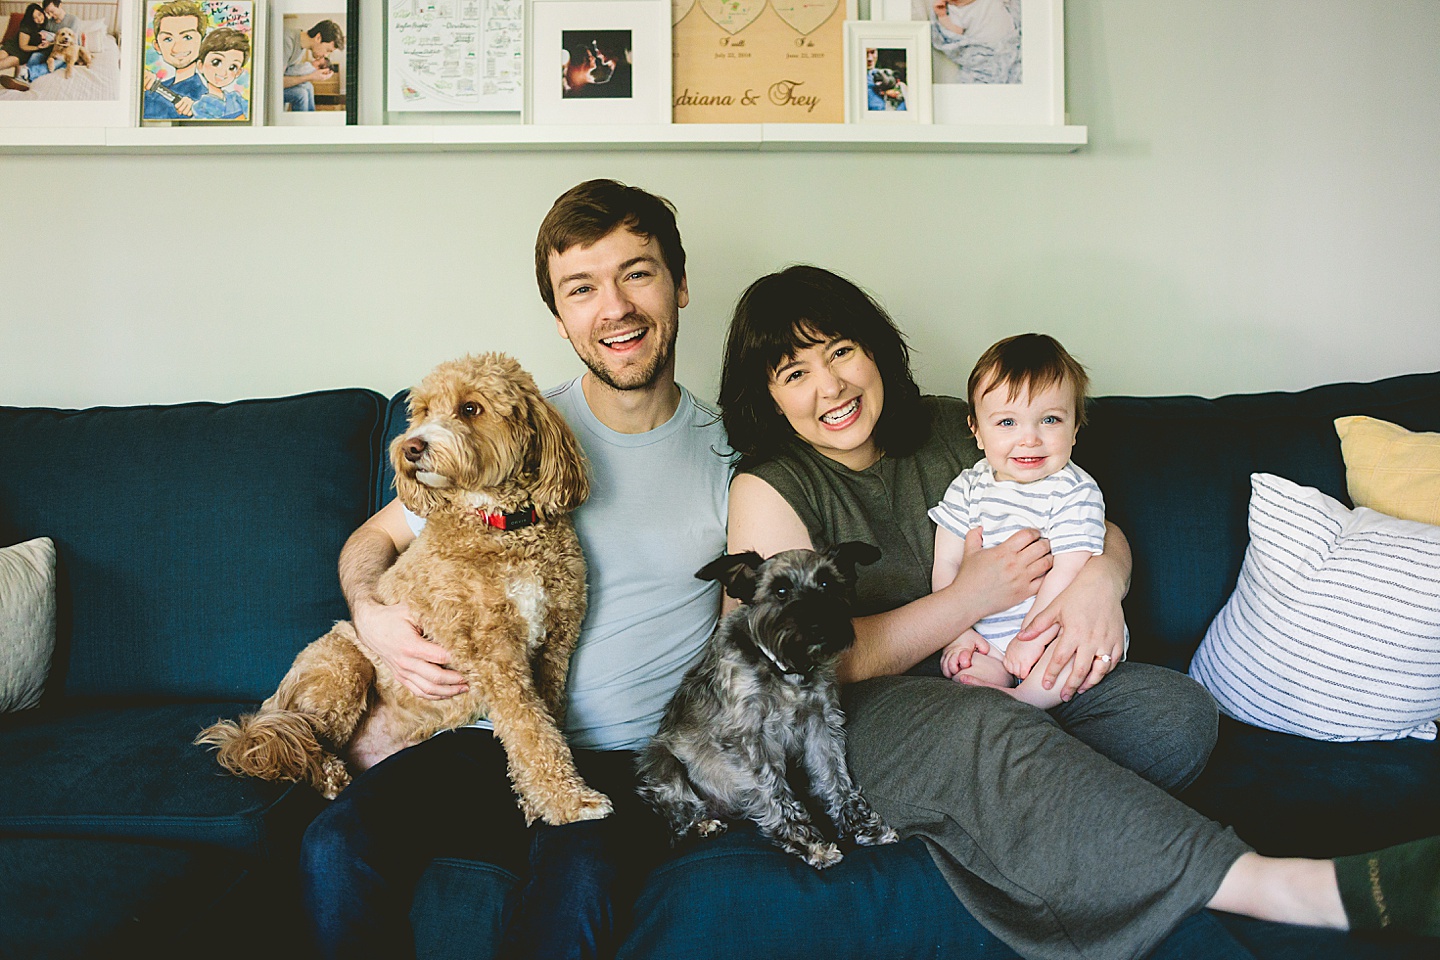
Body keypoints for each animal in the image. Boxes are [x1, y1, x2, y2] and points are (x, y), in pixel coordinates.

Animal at [636, 541, 892, 869]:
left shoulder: (822, 725)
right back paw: (703, 824)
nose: (819, 624)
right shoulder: (748, 740)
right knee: (678, 815)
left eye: (826, 584)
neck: (787, 670)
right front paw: (808, 844)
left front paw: (862, 826)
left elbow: (835, 776)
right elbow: (775, 792)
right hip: (661, 762)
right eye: (780, 591)